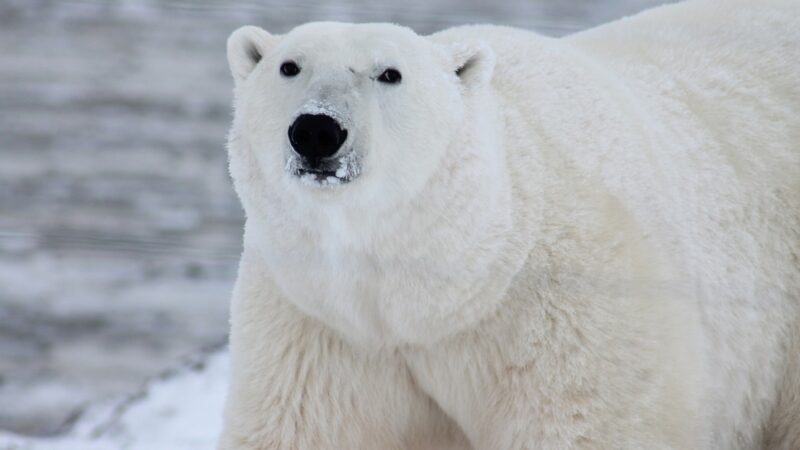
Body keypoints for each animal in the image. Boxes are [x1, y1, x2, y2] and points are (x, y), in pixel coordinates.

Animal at [216, 1, 796, 448]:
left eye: (389, 73)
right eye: (289, 66)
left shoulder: (567, 312)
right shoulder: (320, 324)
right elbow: (303, 427)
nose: (316, 130)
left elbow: (585, 425)